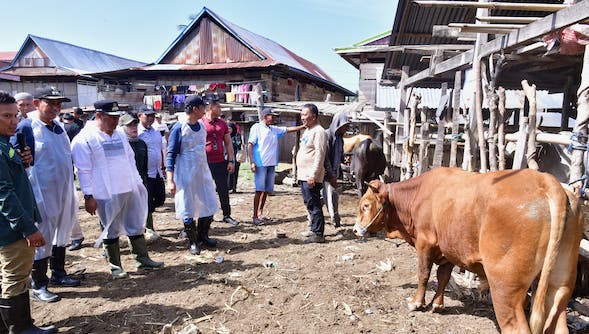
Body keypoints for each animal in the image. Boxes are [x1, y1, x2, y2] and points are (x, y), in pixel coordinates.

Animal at [354, 168, 584, 334]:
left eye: (365, 205)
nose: (356, 229)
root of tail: (546, 180)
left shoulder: (425, 243)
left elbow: (423, 274)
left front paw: (416, 303)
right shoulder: (447, 250)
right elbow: (443, 277)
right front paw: (437, 305)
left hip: (505, 289)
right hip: (559, 287)